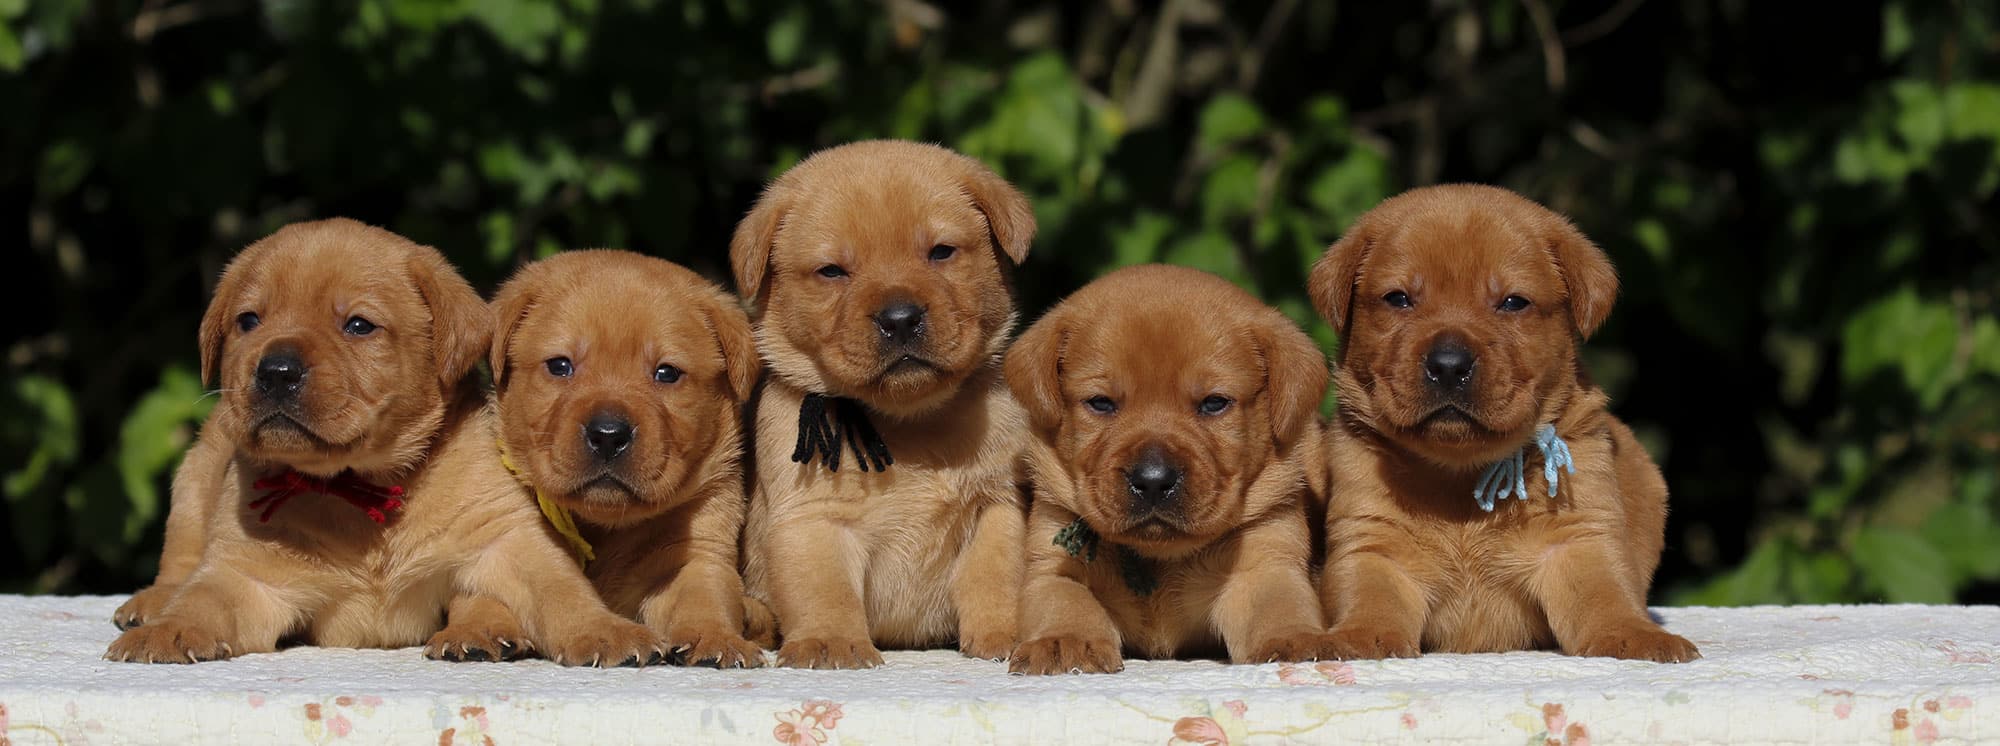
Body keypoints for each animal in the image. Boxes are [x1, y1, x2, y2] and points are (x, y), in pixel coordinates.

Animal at [480, 250, 768, 668]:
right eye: (560, 366)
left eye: (667, 373)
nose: (608, 435)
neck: (605, 527)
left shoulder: (699, 548)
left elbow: (706, 596)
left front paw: (717, 638)